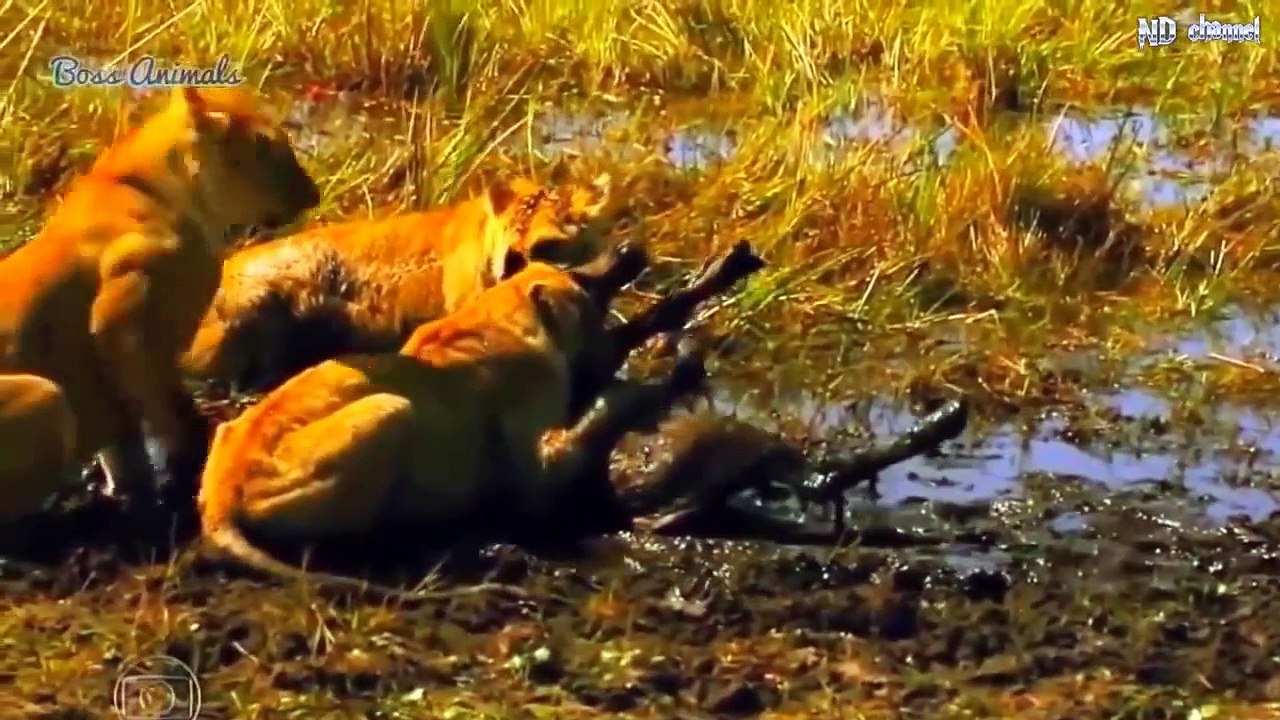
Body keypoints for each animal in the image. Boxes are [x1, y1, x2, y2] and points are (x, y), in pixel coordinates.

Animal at [0, 85, 320, 518]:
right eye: (267, 148)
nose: (314, 194)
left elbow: (125, 446)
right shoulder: (124, 314)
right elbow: (169, 410)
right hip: (49, 398)